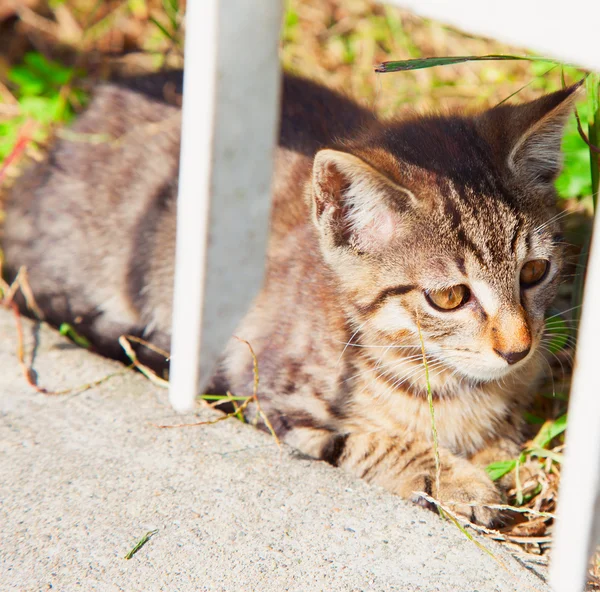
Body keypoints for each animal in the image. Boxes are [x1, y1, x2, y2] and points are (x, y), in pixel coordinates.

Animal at [2, 70, 580, 528]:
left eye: (535, 271)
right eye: (449, 296)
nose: (518, 348)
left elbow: (504, 433)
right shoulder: (271, 397)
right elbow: (368, 442)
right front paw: (457, 481)